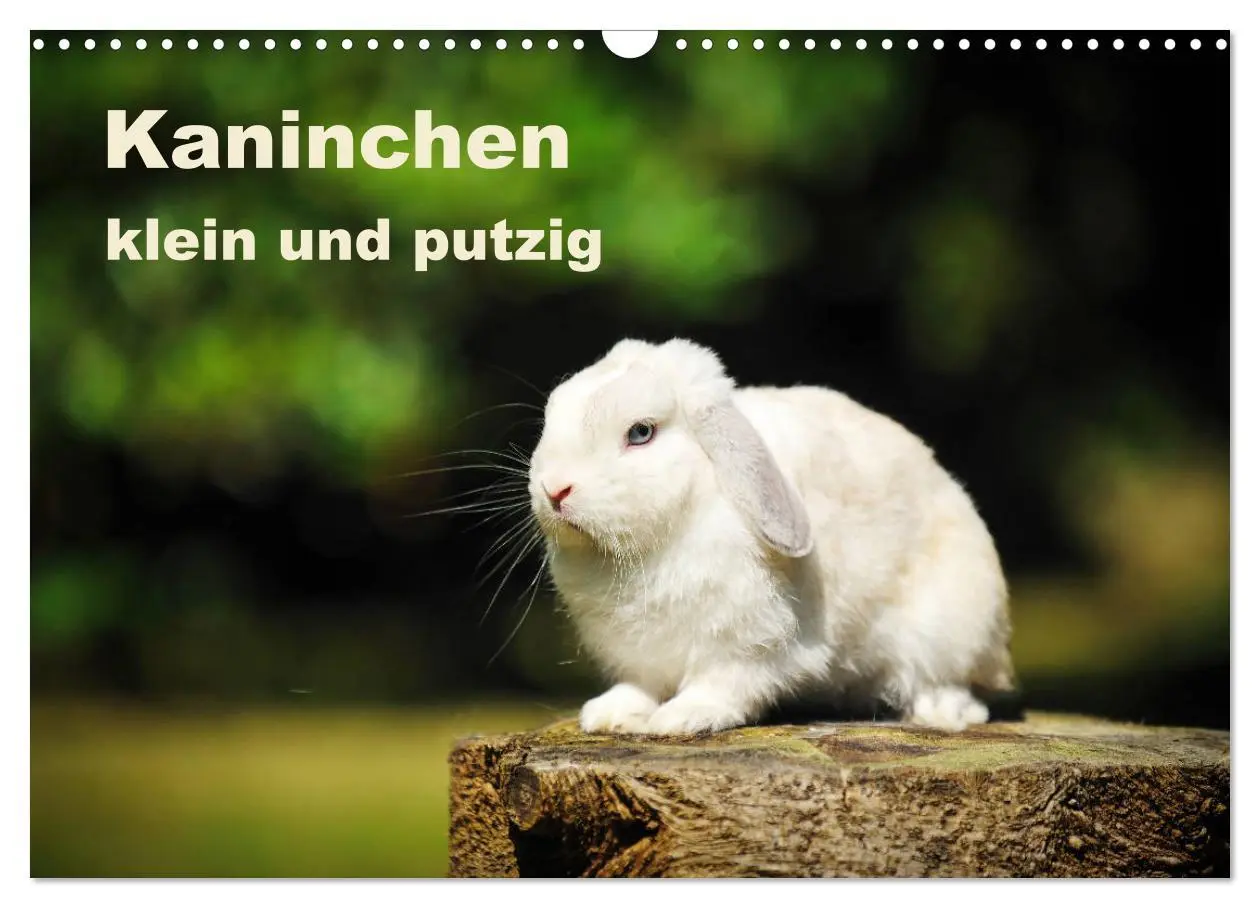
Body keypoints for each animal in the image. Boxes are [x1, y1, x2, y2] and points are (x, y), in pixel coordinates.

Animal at [527, 338, 1015, 735]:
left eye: (641, 432)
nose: (555, 489)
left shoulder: (747, 645)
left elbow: (722, 685)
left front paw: (683, 718)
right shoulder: (640, 653)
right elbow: (640, 684)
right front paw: (610, 715)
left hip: (947, 627)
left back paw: (938, 713)